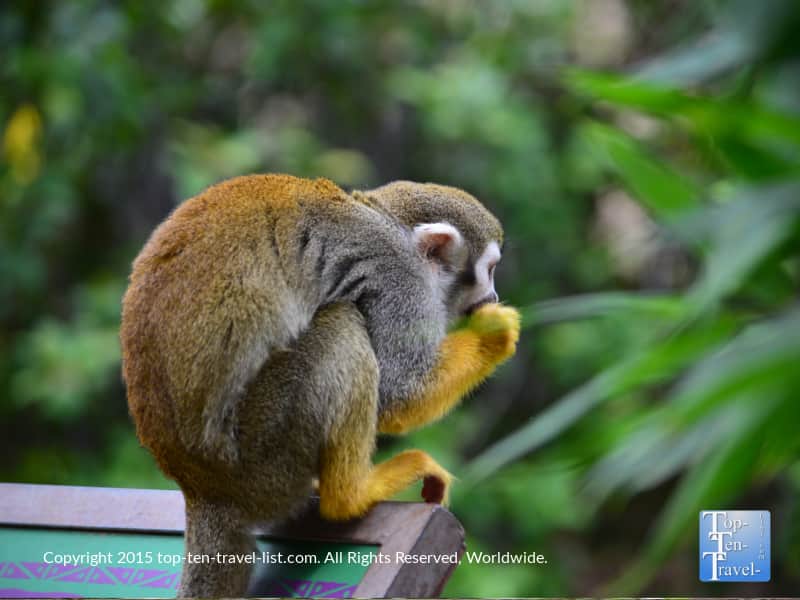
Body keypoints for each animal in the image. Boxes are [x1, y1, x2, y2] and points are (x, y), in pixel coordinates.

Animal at [120, 174, 520, 597]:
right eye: (490, 269)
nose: (493, 295)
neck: (387, 220)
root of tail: (203, 490)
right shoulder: (397, 276)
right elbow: (401, 392)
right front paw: (493, 333)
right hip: (265, 451)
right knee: (340, 326)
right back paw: (351, 495)